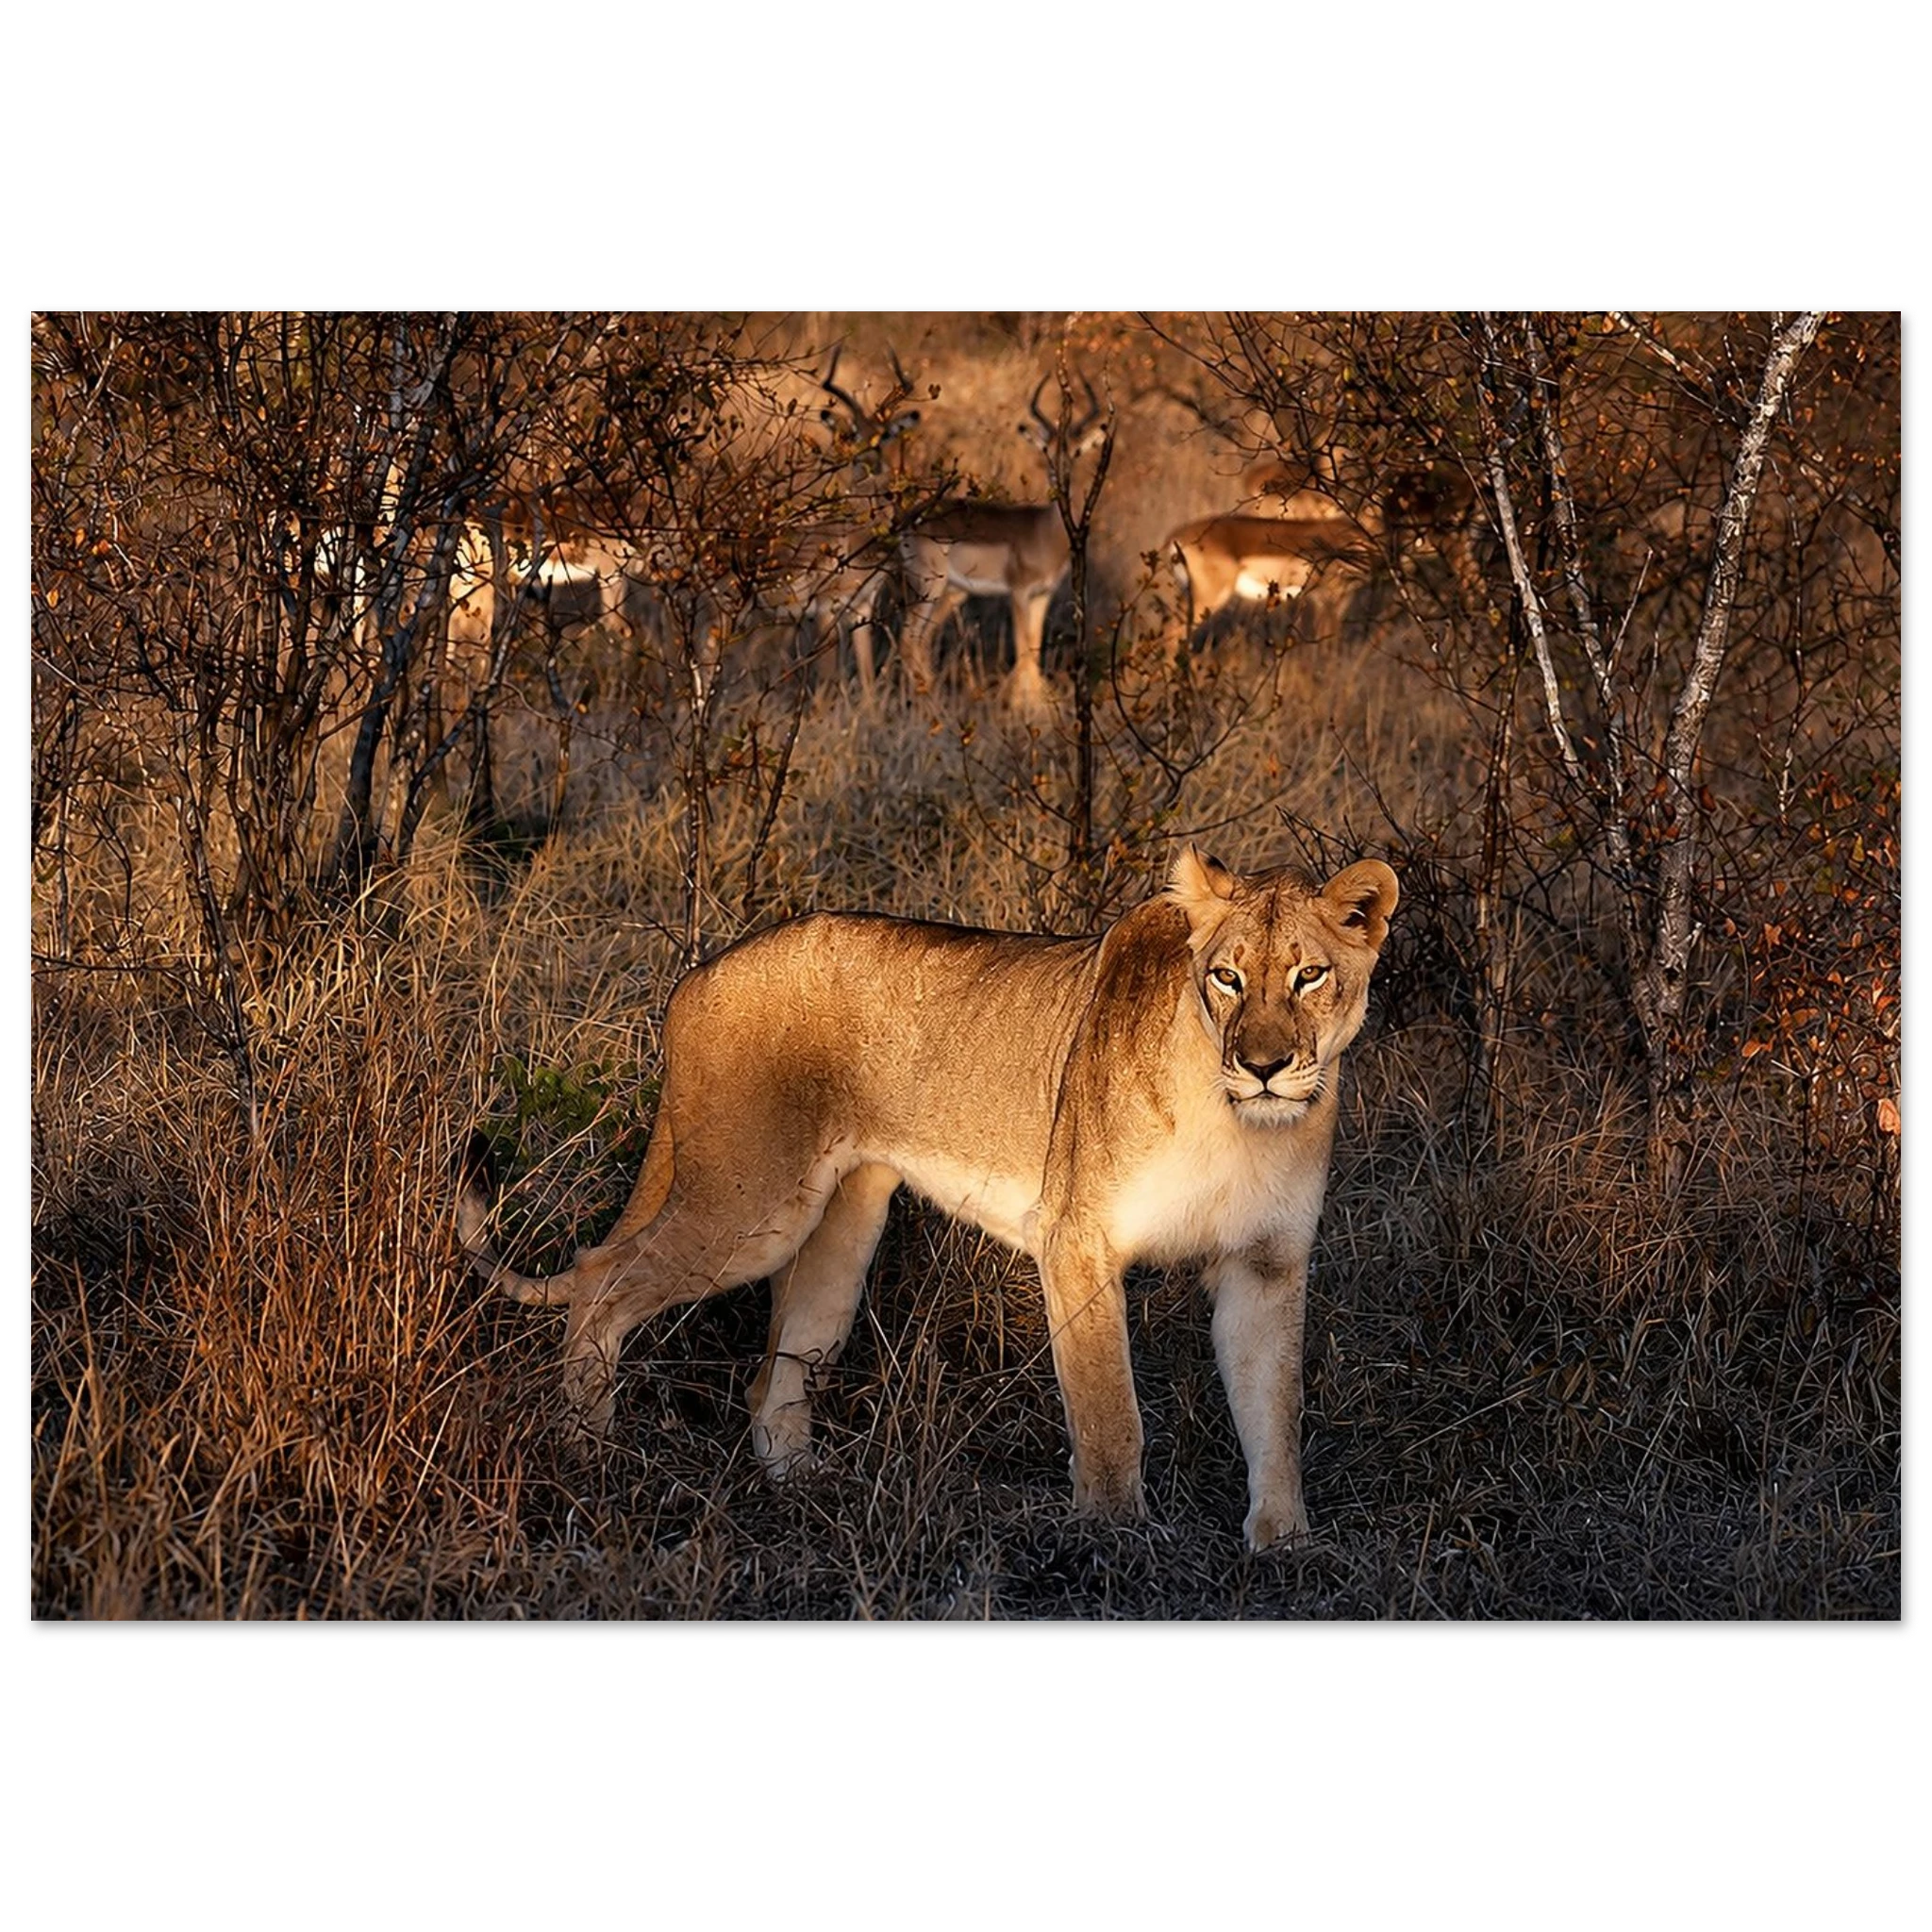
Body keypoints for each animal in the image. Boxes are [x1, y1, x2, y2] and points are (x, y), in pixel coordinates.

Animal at [459, 847, 1399, 1550]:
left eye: (1311, 976)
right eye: (1228, 979)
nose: (1265, 1065)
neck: (1239, 1123)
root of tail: (700, 973)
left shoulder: (1267, 1263)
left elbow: (1275, 1409)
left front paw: (1286, 1545)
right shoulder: (1077, 1239)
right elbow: (1110, 1413)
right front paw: (1113, 1539)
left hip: (840, 1225)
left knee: (774, 1373)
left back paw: (806, 1489)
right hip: (748, 1201)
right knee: (600, 1276)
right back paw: (588, 1453)